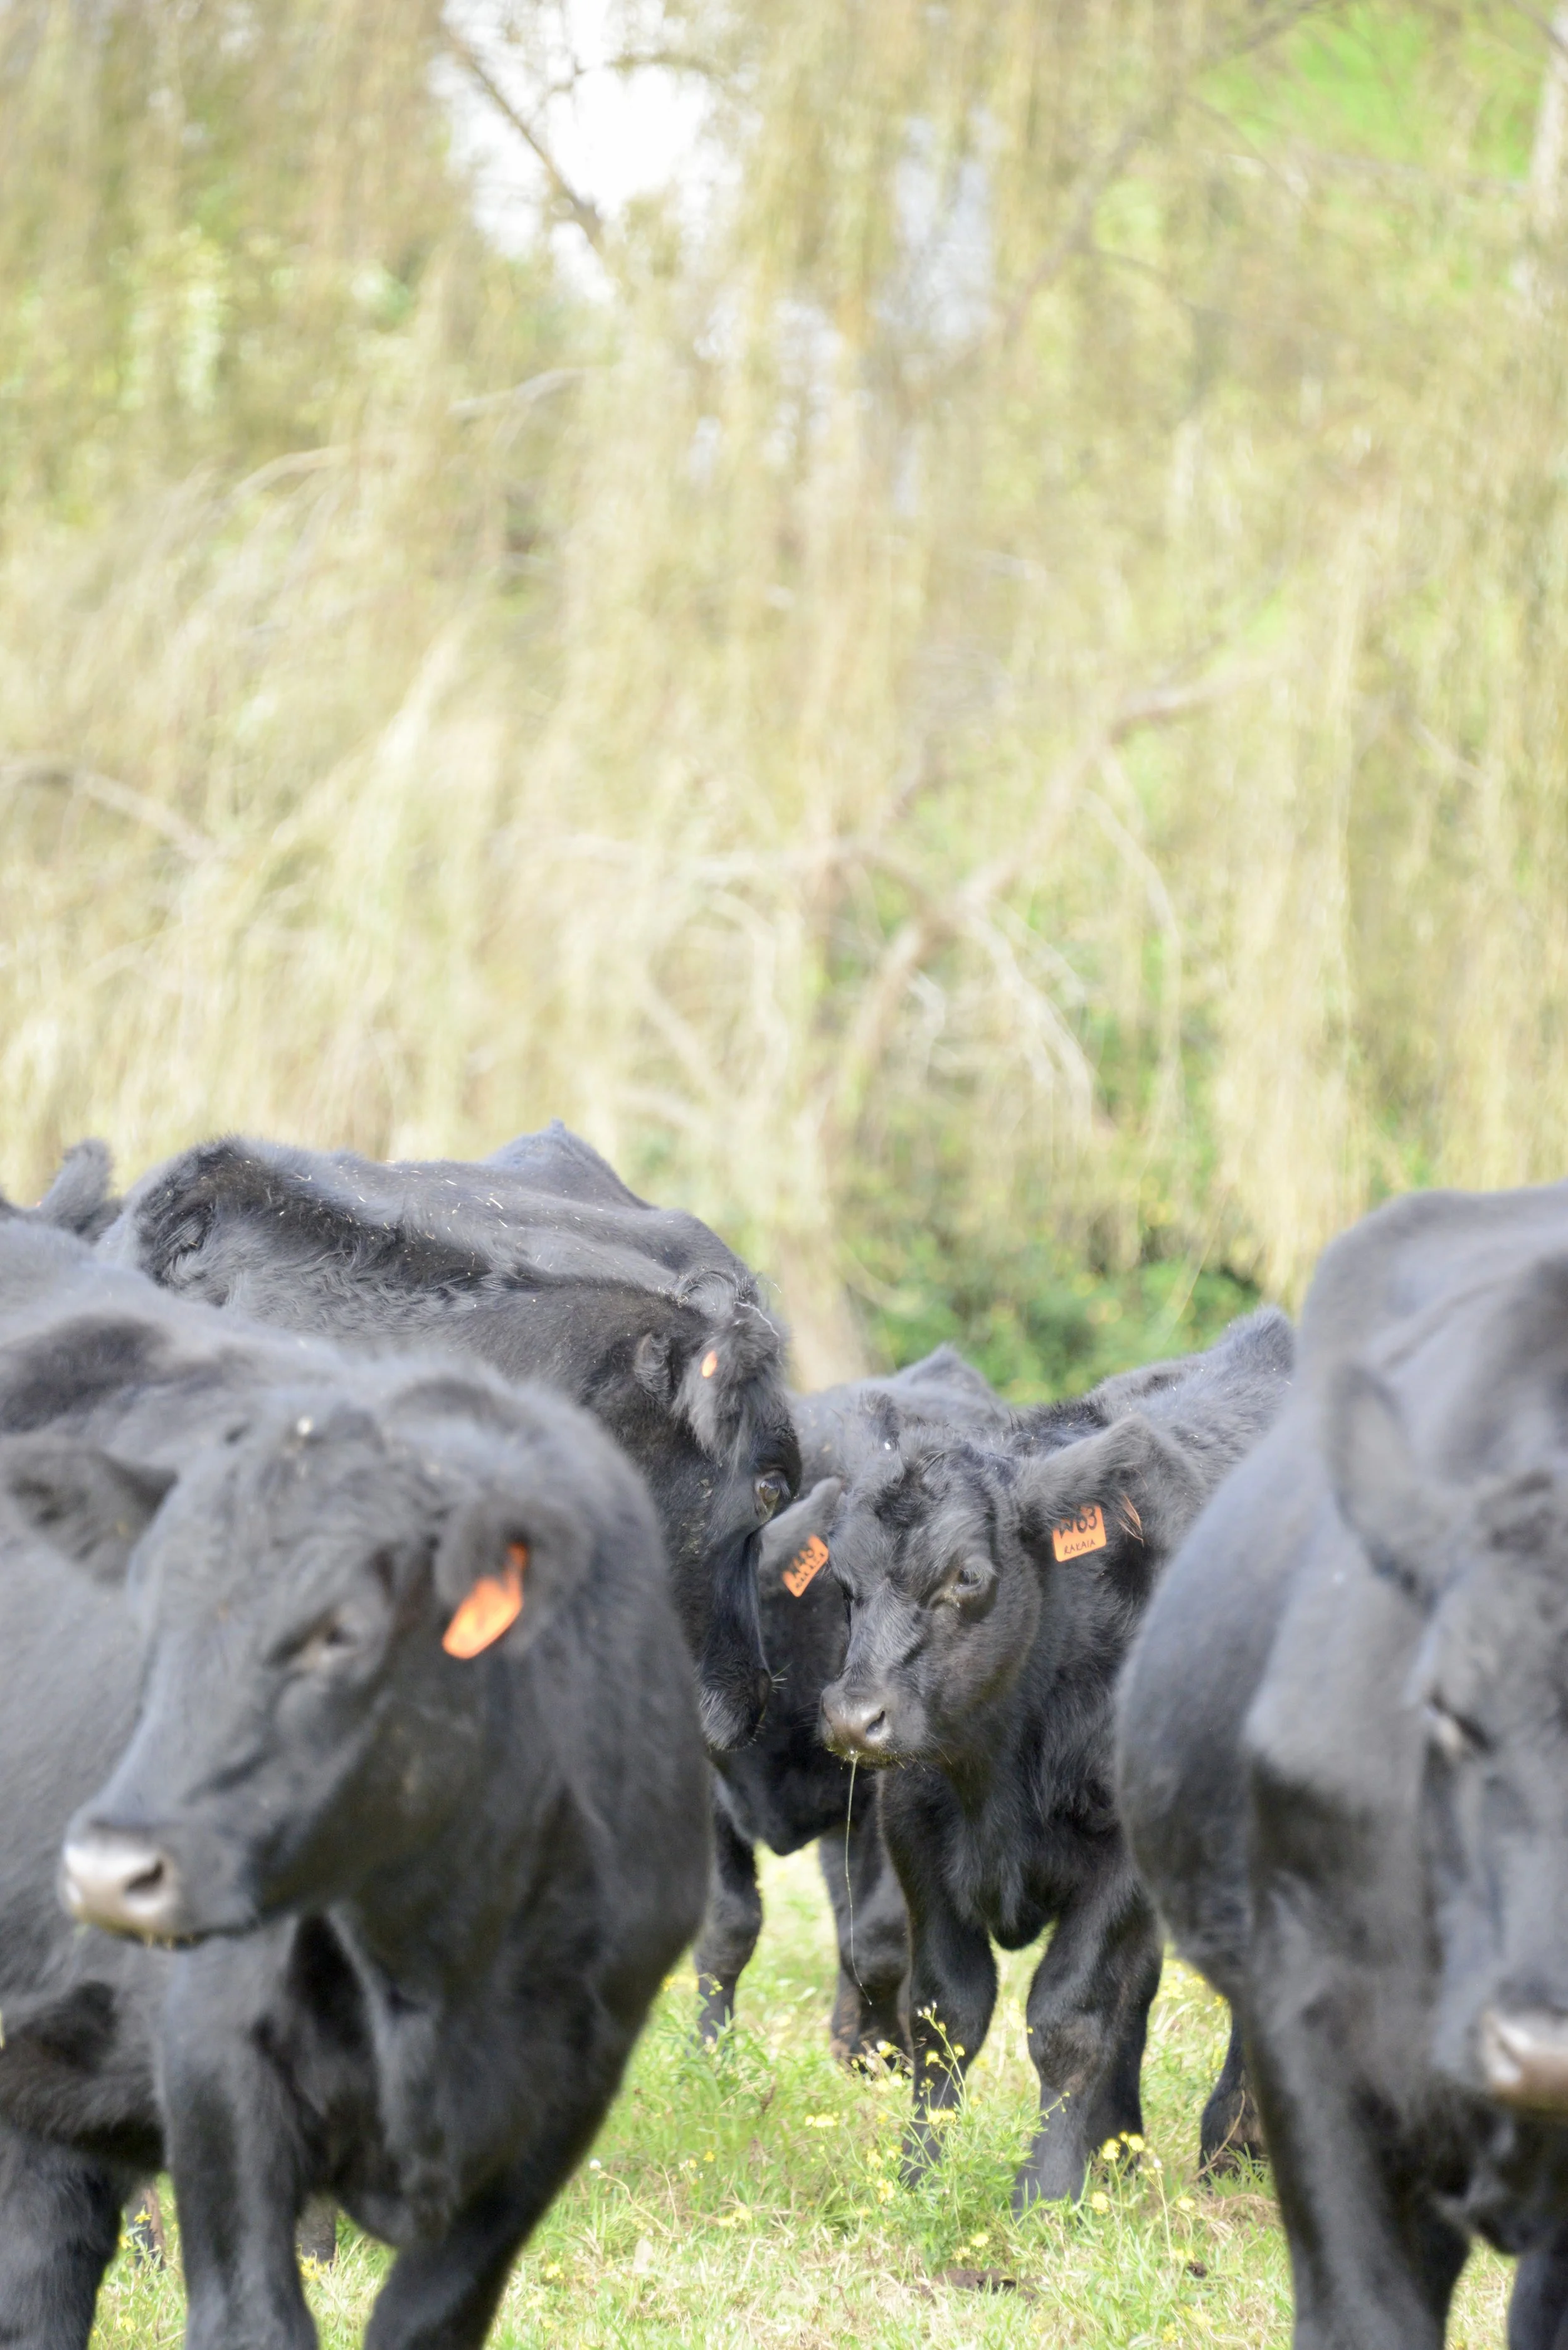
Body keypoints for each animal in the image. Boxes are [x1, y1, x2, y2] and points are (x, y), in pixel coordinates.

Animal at [818, 1308, 1293, 2209]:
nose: (856, 1719)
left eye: (967, 1576)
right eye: (844, 1583)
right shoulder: (917, 1839)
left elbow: (1069, 2015)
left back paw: (1233, 2145)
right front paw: (921, 2175)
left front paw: (1046, 2190)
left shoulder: (1124, 1860)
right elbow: (947, 2013)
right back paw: (1127, 2151)